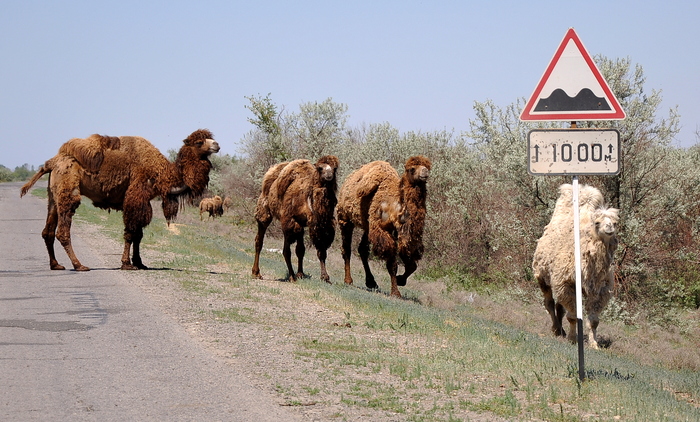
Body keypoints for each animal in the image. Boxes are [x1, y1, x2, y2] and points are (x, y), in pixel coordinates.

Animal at [252, 156, 340, 284]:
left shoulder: (319, 225)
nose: (329, 176)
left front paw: (325, 277)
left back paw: (300, 273)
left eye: (335, 168)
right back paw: (256, 273)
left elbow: (319, 251)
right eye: (320, 168)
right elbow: (287, 251)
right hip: (265, 210)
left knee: (299, 249)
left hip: (299, 224)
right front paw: (292, 276)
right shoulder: (290, 220)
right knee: (260, 240)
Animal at [336, 157, 430, 298]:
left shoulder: (403, 234)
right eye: (412, 169)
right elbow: (392, 264)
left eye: (428, 167)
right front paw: (396, 292)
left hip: (368, 226)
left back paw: (371, 282)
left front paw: (401, 280)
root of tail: (348, 179)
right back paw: (348, 280)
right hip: (345, 218)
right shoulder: (382, 229)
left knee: (362, 249)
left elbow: (411, 263)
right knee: (346, 248)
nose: (425, 172)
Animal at [532, 183, 620, 348]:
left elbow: (594, 321)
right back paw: (556, 329)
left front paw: (594, 344)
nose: (609, 228)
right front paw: (573, 339)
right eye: (597, 222)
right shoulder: (566, 283)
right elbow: (572, 316)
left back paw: (561, 331)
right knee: (549, 302)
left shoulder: (601, 289)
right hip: (542, 276)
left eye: (615, 222)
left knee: (559, 306)